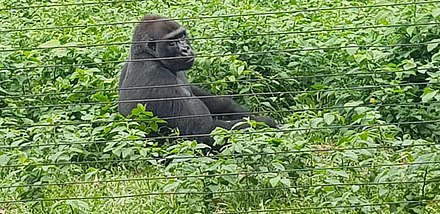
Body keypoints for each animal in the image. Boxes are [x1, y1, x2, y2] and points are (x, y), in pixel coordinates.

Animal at [118, 14, 276, 150]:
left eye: (182, 36)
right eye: (172, 42)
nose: (185, 49)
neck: (148, 56)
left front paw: (238, 110)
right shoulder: (158, 80)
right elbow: (203, 133)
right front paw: (265, 123)